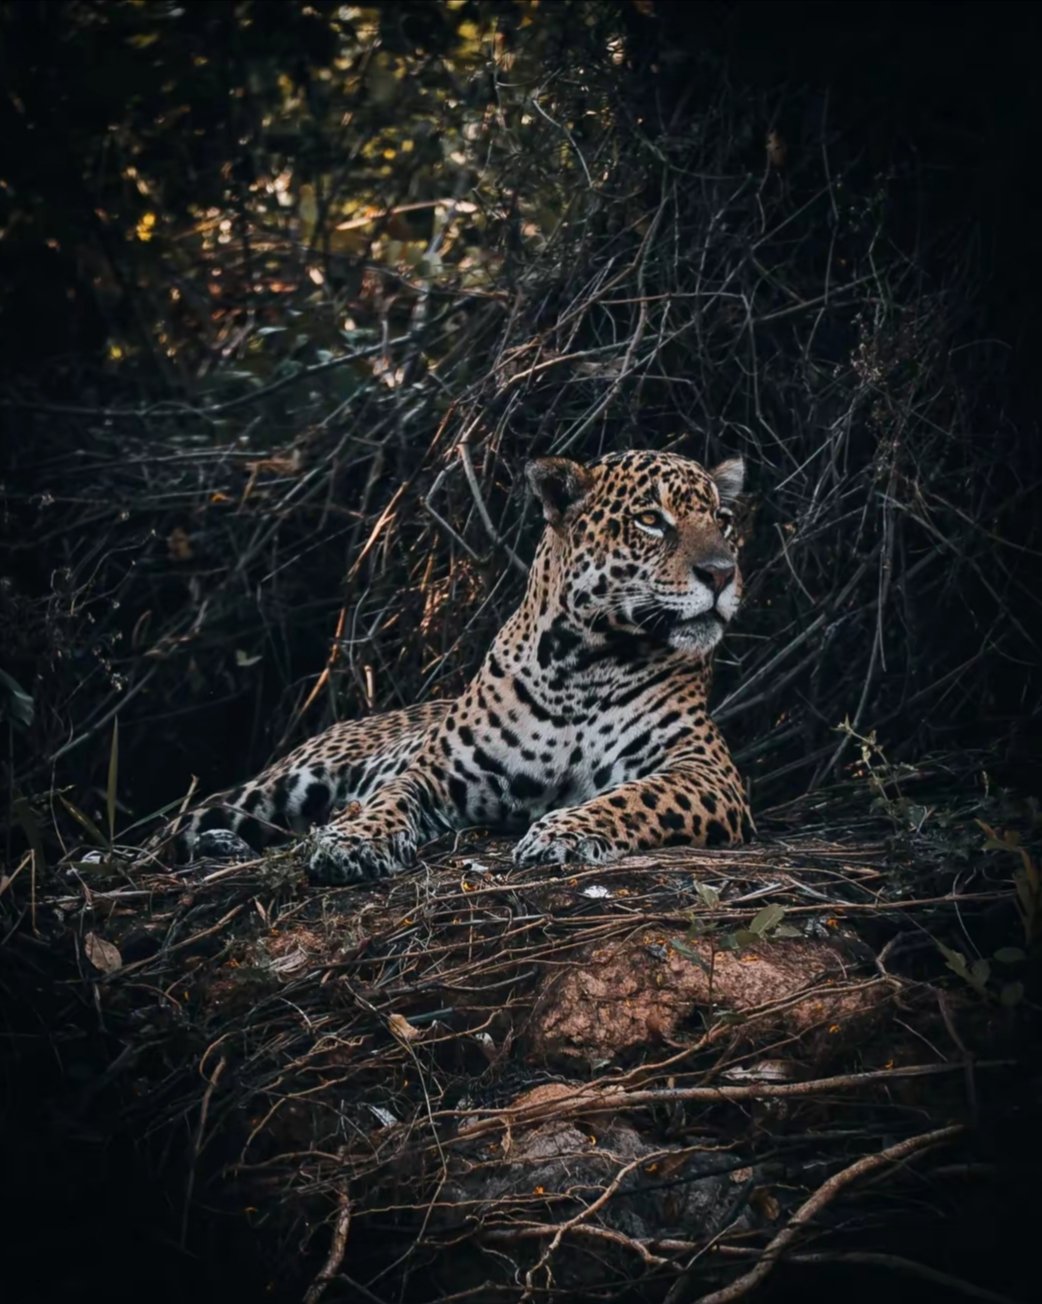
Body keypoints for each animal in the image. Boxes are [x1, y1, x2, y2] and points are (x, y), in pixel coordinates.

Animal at [160, 448, 753, 883]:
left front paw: (559, 833)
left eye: (722, 521)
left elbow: (634, 796)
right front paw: (353, 841)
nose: (722, 573)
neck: (584, 665)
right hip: (282, 783)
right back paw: (217, 843)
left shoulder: (707, 773)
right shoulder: (438, 771)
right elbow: (389, 797)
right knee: (177, 829)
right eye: (651, 520)